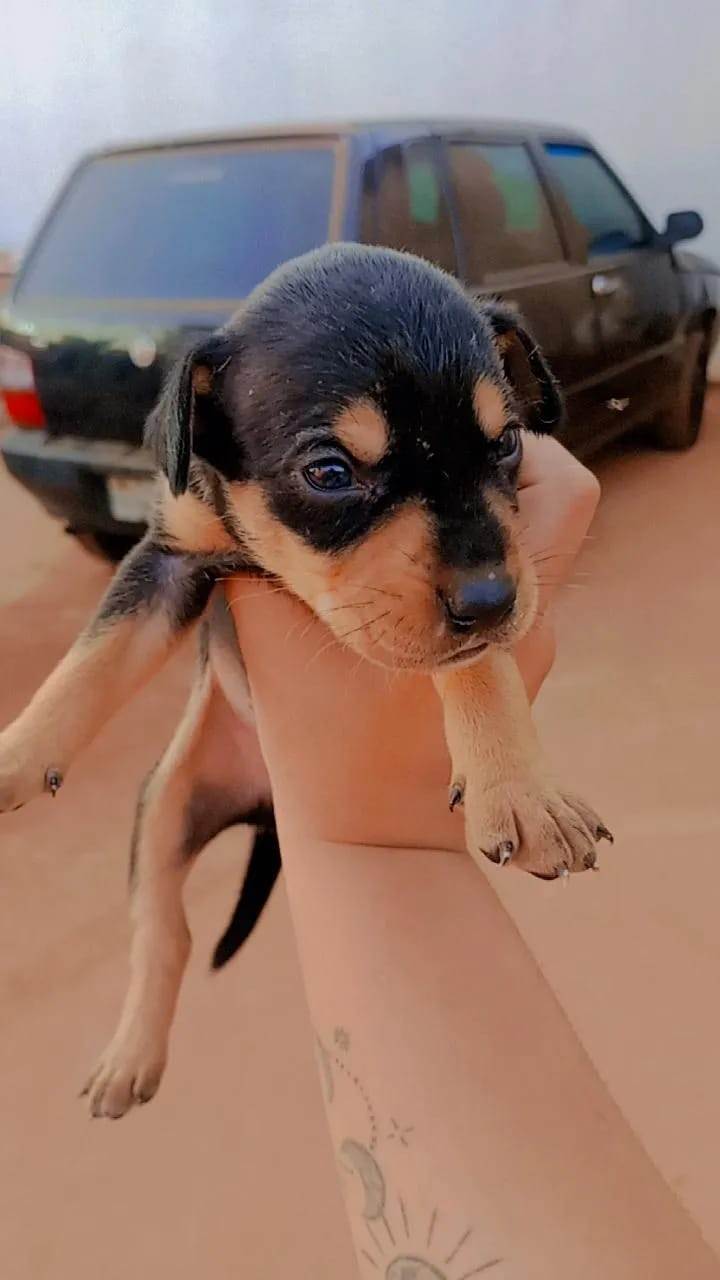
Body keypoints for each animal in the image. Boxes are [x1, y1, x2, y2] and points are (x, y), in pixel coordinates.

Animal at [0, 244, 607, 1116]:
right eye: (328, 471)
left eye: (506, 444)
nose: (493, 602)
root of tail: (265, 806)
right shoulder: (170, 555)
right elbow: (93, 656)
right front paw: (14, 755)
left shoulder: (501, 557)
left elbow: (480, 664)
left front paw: (521, 790)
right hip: (164, 807)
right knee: (163, 931)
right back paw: (129, 1056)